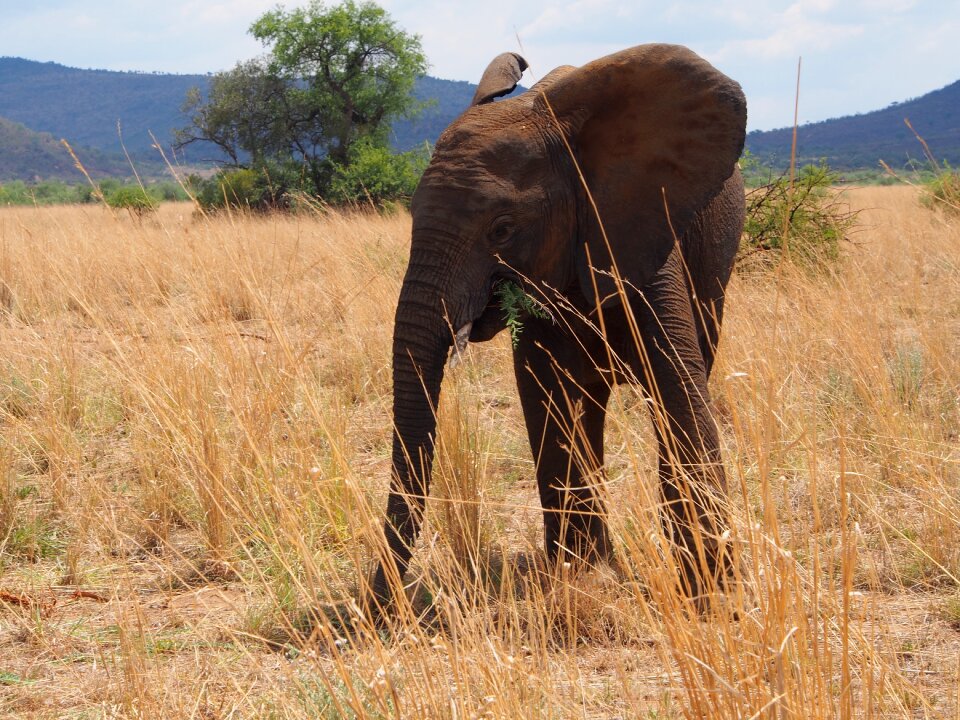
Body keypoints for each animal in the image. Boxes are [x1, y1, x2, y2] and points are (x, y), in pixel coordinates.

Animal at [370, 42, 752, 612]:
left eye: (502, 229)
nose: (382, 605)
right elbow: (546, 396)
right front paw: (580, 577)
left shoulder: (640, 234)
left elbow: (679, 390)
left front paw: (711, 598)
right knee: (585, 406)